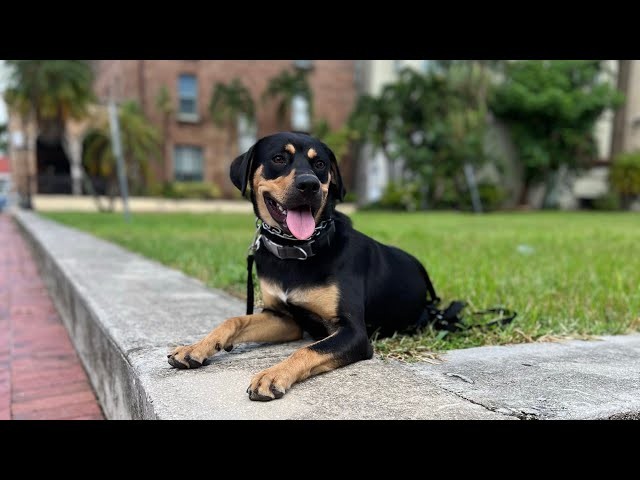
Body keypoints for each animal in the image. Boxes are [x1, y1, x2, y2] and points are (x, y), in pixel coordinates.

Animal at [168, 131, 432, 402]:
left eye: (320, 164)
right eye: (278, 158)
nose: (309, 185)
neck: (296, 250)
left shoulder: (354, 332)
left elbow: (308, 350)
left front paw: (272, 375)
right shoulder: (284, 318)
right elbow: (235, 320)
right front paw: (195, 348)